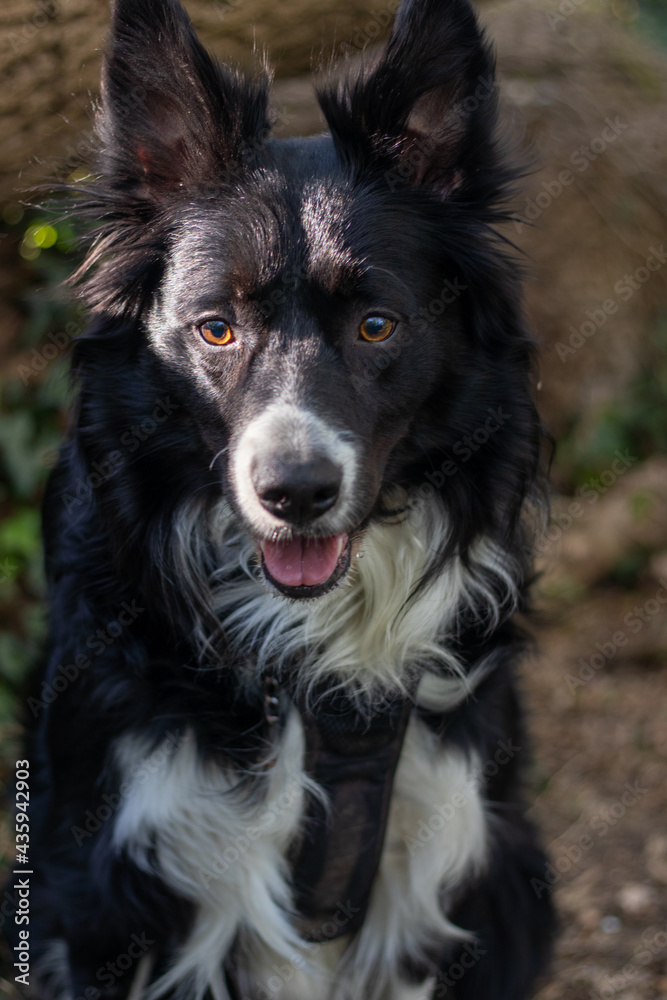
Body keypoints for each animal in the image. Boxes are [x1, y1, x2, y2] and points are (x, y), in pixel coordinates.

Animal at [18, 0, 556, 996]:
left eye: (376, 325)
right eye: (215, 329)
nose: (295, 494)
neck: (308, 669)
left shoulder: (443, 867)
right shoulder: (122, 878)